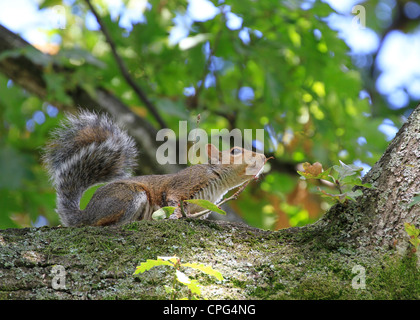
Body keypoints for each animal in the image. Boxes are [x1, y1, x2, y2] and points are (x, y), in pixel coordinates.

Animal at [42, 111, 266, 226]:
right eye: (235, 150)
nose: (263, 157)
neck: (217, 180)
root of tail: (85, 214)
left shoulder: (204, 206)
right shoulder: (184, 184)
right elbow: (174, 200)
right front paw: (175, 217)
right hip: (127, 196)